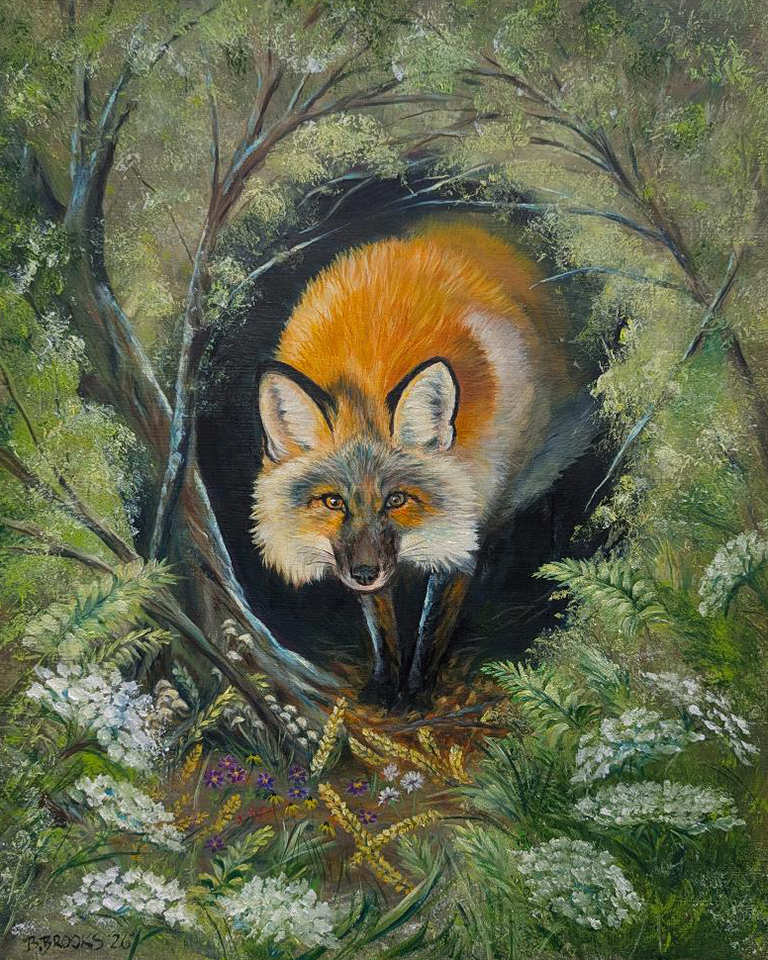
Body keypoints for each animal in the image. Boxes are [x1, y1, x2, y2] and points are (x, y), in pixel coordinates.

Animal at [252, 220, 593, 706]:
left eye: (397, 500)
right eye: (333, 503)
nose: (363, 573)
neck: (367, 369)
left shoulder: (469, 512)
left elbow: (434, 623)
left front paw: (416, 690)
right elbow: (380, 620)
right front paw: (384, 684)